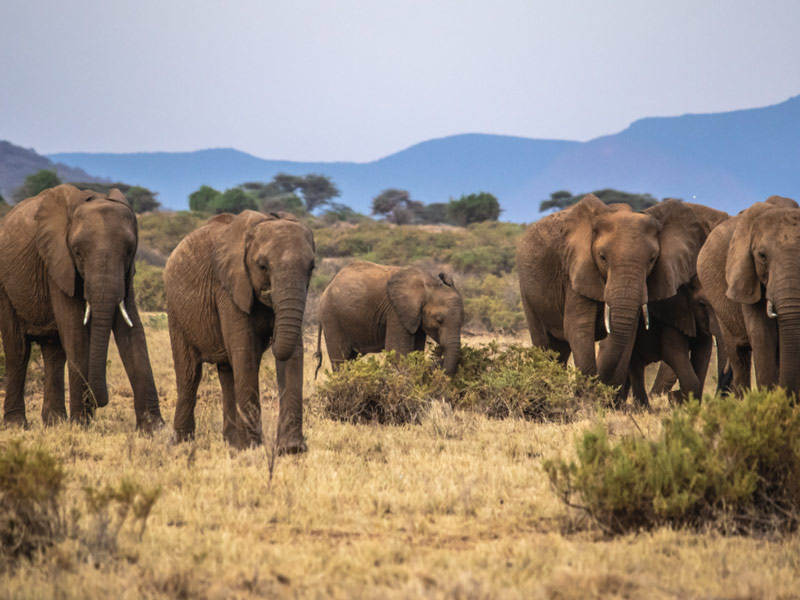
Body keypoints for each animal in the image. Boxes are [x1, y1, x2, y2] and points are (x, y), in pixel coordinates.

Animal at [0, 184, 164, 429]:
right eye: (77, 252)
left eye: (129, 251)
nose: (99, 401)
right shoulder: (58, 263)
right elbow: (75, 331)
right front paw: (81, 424)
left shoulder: (126, 275)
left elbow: (132, 330)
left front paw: (155, 429)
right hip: (5, 287)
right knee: (18, 351)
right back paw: (16, 425)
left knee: (54, 353)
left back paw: (55, 422)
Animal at [164, 210, 315, 452]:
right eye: (262, 266)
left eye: (311, 268)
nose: (271, 338)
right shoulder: (227, 288)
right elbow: (245, 352)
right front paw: (254, 447)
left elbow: (293, 352)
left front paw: (291, 450)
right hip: (177, 312)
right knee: (189, 373)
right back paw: (181, 443)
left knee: (227, 373)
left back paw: (232, 443)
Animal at [314, 261, 464, 377]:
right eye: (439, 320)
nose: (437, 361)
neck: (428, 285)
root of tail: (326, 289)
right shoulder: (395, 311)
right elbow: (398, 352)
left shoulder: (415, 317)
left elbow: (416, 350)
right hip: (331, 318)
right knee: (341, 359)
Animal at [516, 194, 706, 400]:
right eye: (602, 257)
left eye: (652, 259)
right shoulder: (577, 272)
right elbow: (579, 326)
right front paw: (586, 399)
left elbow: (627, 334)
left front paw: (608, 399)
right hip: (527, 289)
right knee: (543, 342)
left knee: (560, 350)